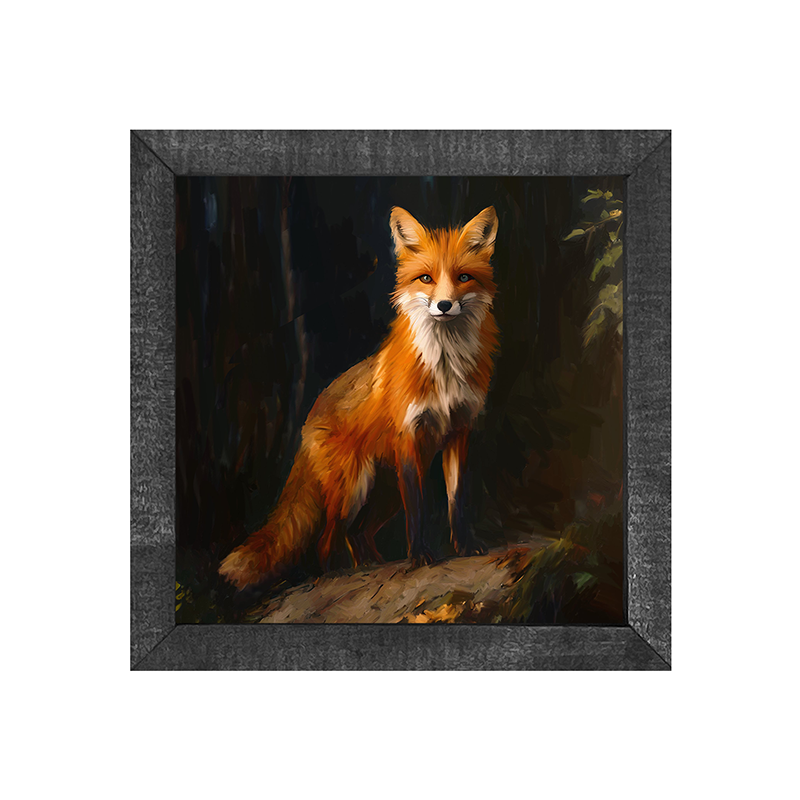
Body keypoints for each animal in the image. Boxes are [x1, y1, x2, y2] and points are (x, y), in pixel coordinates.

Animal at [218, 205, 500, 591]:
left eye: (464, 277)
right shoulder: (409, 437)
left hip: (384, 493)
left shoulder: (459, 431)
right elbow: (419, 511)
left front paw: (465, 547)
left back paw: (370, 567)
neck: (445, 366)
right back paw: (338, 573)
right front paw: (420, 557)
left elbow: (457, 500)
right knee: (327, 540)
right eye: (426, 278)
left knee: (358, 535)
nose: (444, 305)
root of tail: (309, 417)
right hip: (354, 488)